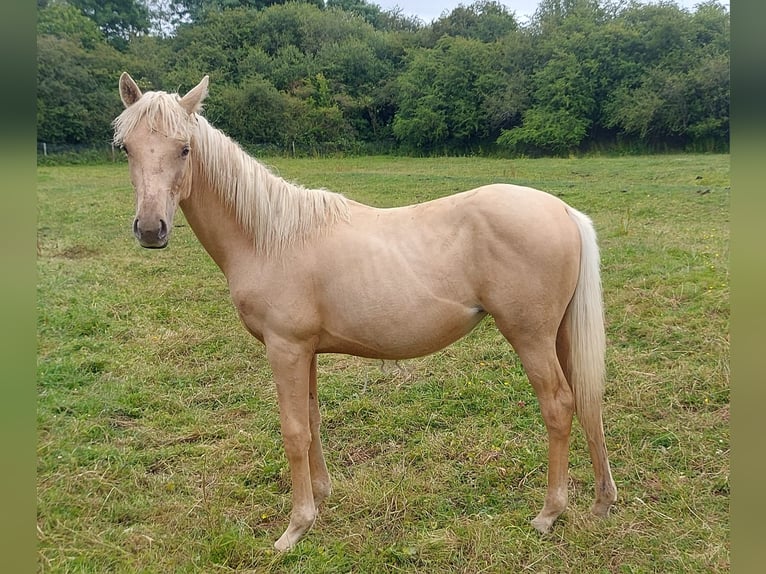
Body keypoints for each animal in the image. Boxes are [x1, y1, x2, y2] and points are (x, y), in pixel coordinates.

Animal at [112, 74, 616, 552]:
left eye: (184, 148)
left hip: (530, 337)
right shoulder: (306, 351)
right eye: (126, 148)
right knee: (587, 401)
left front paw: (296, 527)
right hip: (560, 335)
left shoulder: (285, 348)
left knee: (559, 406)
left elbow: (293, 430)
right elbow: (313, 421)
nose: (151, 229)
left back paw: (550, 513)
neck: (269, 237)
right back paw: (601, 502)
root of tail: (563, 211)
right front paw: (321, 495)